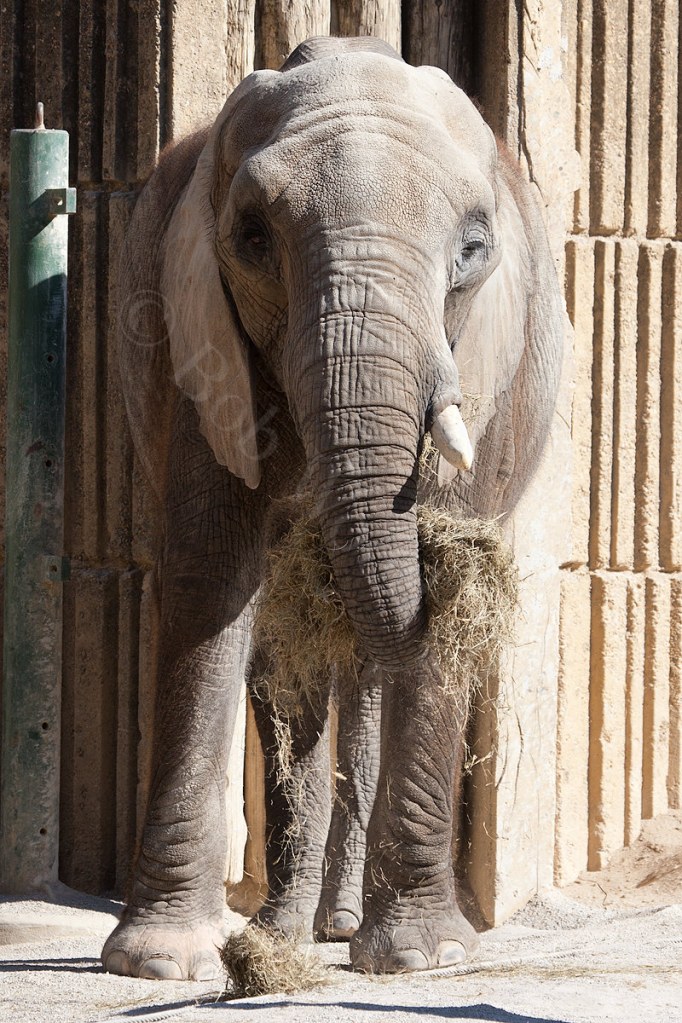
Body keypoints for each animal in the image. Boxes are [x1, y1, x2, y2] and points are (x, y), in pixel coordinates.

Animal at [102, 35, 563, 980]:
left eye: (473, 249)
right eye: (251, 239)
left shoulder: (485, 363)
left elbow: (421, 630)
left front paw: (422, 957)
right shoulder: (189, 340)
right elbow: (212, 581)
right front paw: (163, 962)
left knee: (362, 672)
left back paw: (343, 925)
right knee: (293, 659)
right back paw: (287, 931)